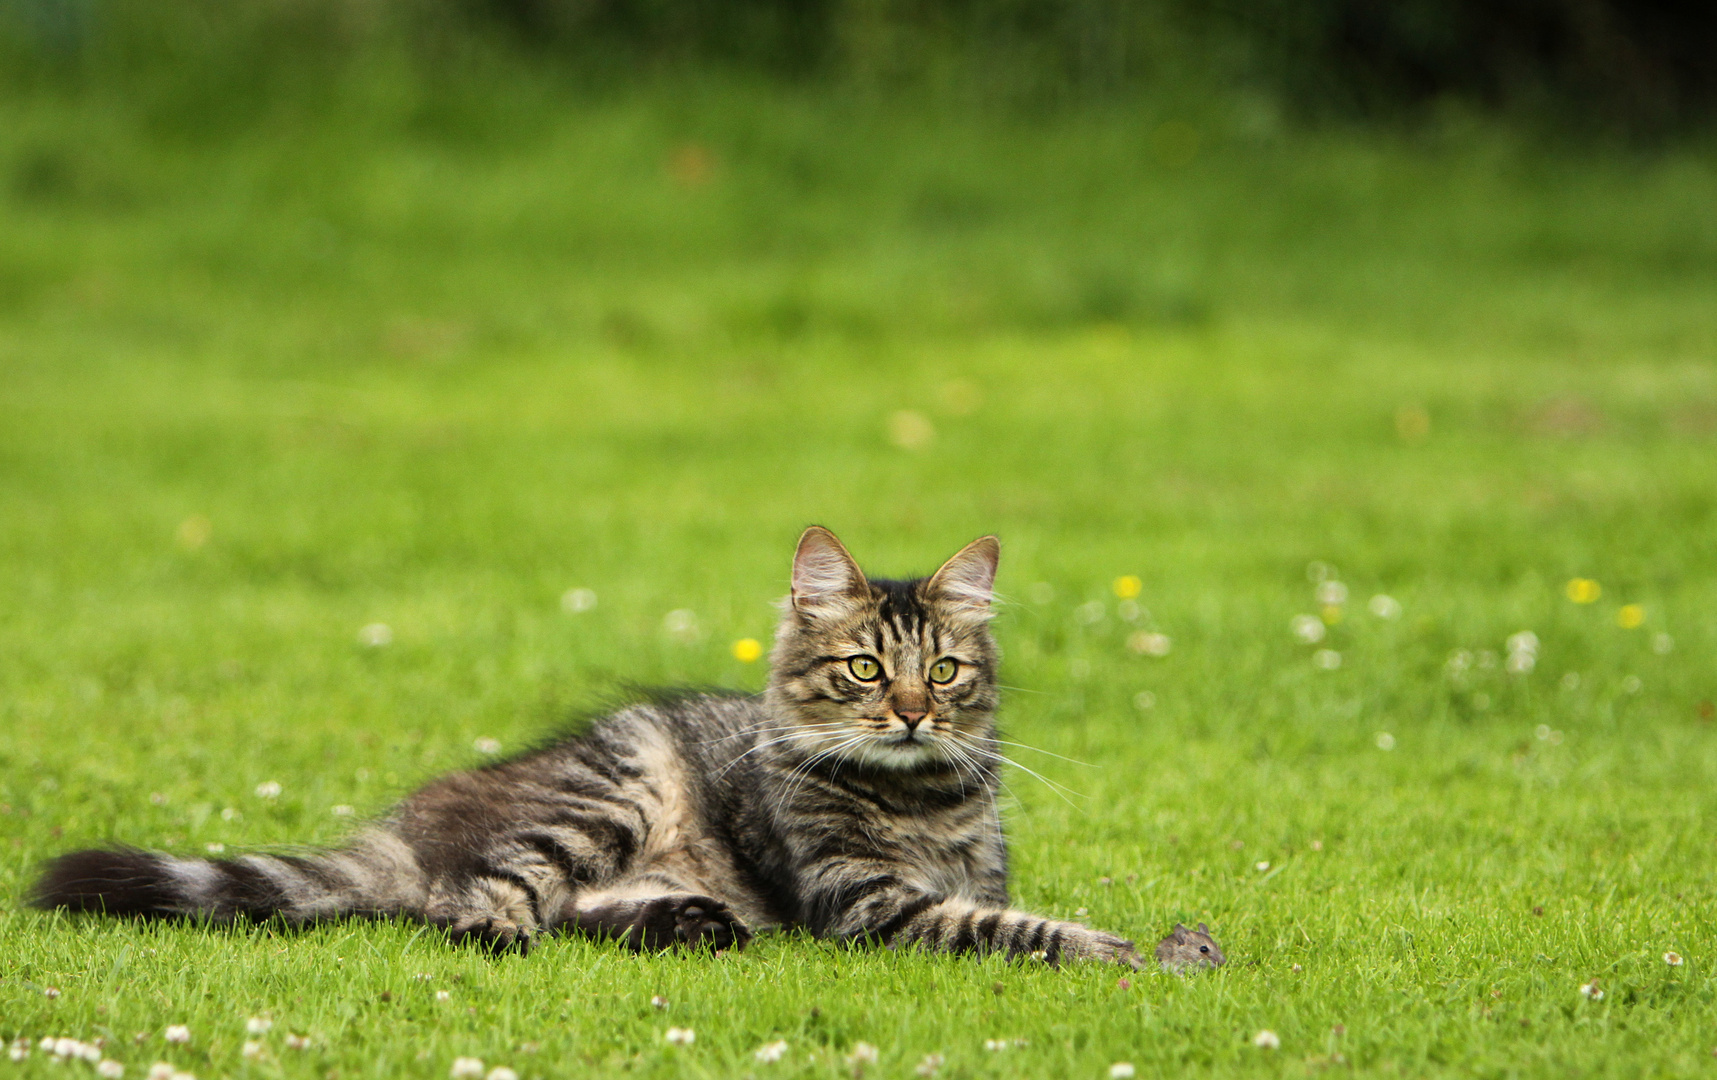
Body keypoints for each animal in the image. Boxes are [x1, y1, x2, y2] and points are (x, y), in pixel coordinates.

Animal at [30, 525, 1140, 961]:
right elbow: (1006, 928)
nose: (911, 713)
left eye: (942, 673)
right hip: (610, 795)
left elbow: (992, 906)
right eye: (865, 670)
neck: (916, 799)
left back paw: (686, 923)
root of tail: (419, 825)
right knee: (472, 899)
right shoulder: (863, 899)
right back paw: (505, 933)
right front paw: (1118, 951)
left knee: (576, 907)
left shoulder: (966, 872)